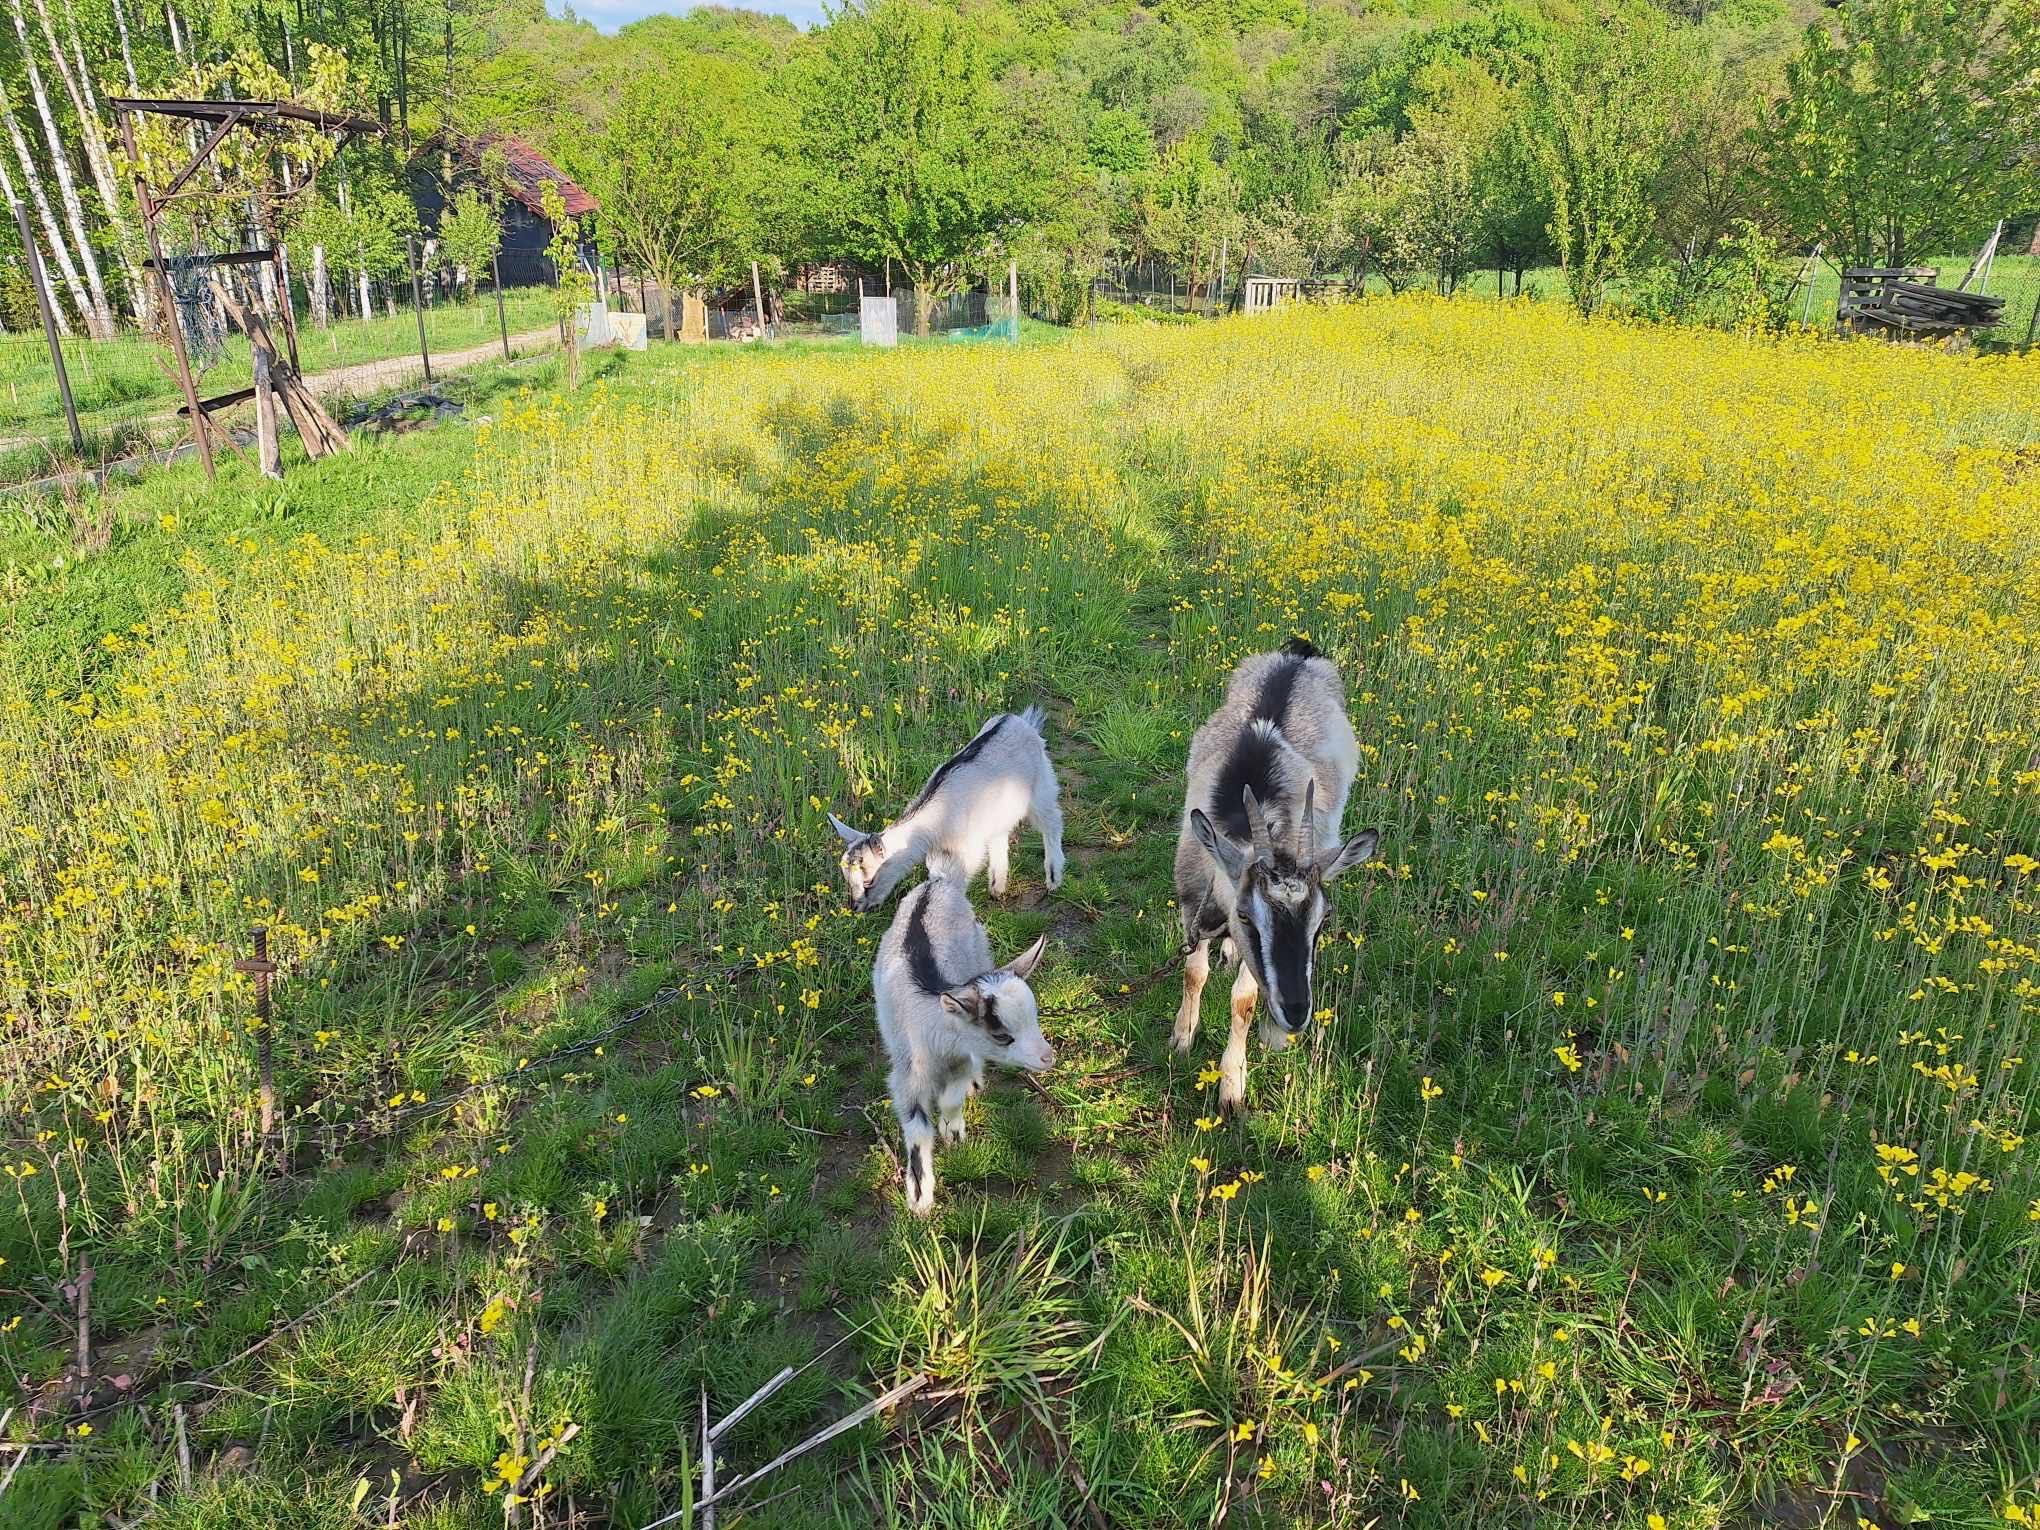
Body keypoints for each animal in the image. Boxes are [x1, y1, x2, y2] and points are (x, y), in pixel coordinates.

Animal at [1175, 640, 1379, 1117]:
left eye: (1323, 921)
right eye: (1247, 917)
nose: (1297, 1011)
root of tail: (1300, 653)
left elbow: (1244, 1000)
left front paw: (1232, 1085)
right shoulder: (1193, 899)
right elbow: (1194, 972)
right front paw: (1182, 1037)